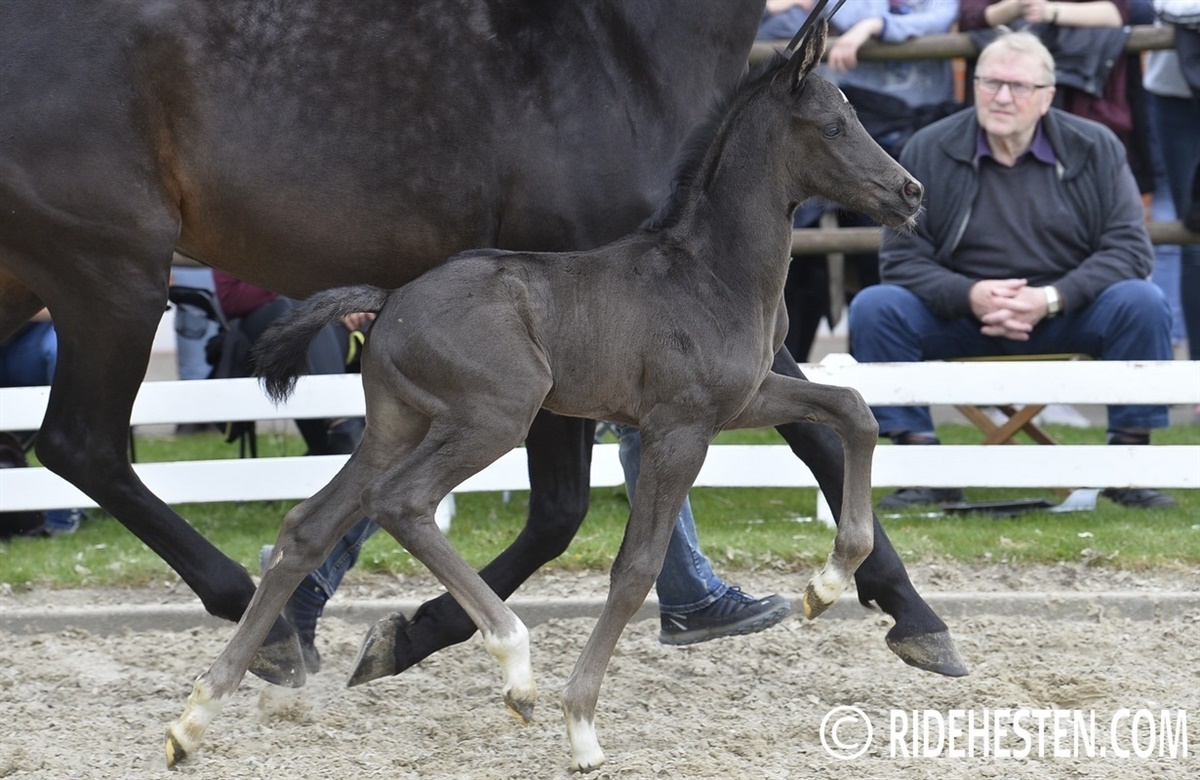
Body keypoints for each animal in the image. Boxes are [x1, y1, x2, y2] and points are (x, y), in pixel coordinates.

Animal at [167, 20, 918, 772]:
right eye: (833, 126)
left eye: (854, 115)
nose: (909, 192)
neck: (711, 272)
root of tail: (389, 299)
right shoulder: (679, 427)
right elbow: (635, 568)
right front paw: (581, 724)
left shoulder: (745, 400)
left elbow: (853, 409)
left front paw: (825, 587)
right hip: (495, 417)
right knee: (401, 502)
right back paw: (516, 667)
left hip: (396, 426)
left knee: (307, 527)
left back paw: (194, 717)